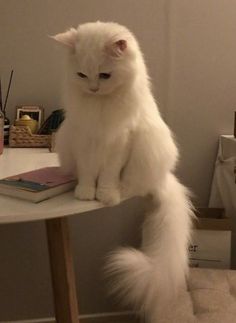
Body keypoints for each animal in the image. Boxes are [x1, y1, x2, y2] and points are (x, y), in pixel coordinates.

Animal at [53, 21, 194, 322]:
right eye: (82, 75)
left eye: (104, 75)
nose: (94, 88)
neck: (100, 105)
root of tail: (162, 179)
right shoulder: (84, 141)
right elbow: (87, 173)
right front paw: (85, 193)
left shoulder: (120, 142)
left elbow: (107, 176)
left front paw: (104, 195)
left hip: (146, 150)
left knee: (132, 186)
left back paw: (118, 193)